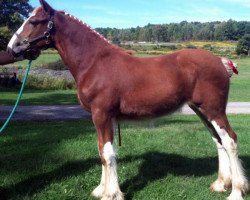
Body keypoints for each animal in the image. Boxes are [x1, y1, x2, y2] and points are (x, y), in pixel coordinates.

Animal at [5, 0, 248, 199]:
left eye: (34, 20)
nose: (11, 47)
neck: (94, 62)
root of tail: (220, 61)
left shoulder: (101, 115)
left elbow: (107, 153)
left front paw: (111, 194)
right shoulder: (106, 118)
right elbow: (104, 151)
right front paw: (101, 189)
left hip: (214, 110)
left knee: (230, 140)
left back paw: (236, 191)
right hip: (201, 110)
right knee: (218, 141)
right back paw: (220, 184)